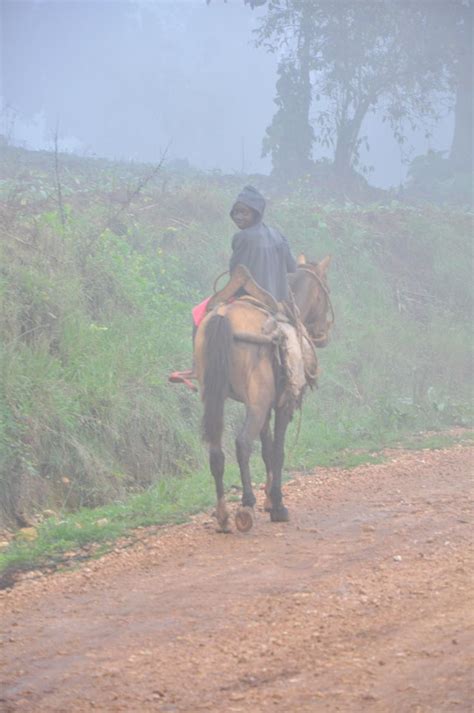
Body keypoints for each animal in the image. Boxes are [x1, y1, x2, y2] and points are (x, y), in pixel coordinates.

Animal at [194, 254, 332, 528]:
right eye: (325, 291)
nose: (322, 334)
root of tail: (224, 316)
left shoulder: (265, 406)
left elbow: (267, 450)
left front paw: (269, 499)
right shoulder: (281, 404)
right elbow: (277, 450)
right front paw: (277, 505)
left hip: (216, 398)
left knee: (216, 451)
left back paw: (223, 513)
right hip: (256, 403)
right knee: (243, 443)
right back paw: (246, 505)